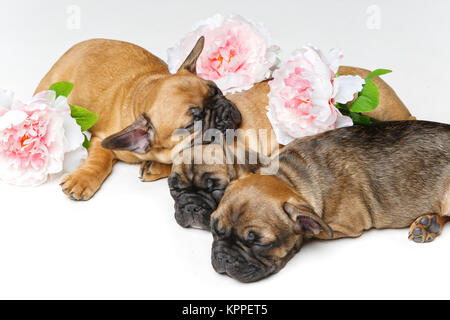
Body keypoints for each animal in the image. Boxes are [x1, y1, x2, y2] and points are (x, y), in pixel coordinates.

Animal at [34, 37, 243, 200]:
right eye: (192, 123)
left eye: (216, 90)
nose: (225, 113)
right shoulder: (102, 138)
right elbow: (99, 159)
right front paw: (83, 178)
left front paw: (155, 167)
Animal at [211, 120, 450, 282]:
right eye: (214, 228)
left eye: (260, 243)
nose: (224, 257)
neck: (291, 178)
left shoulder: (341, 226)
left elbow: (311, 232)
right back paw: (428, 223)